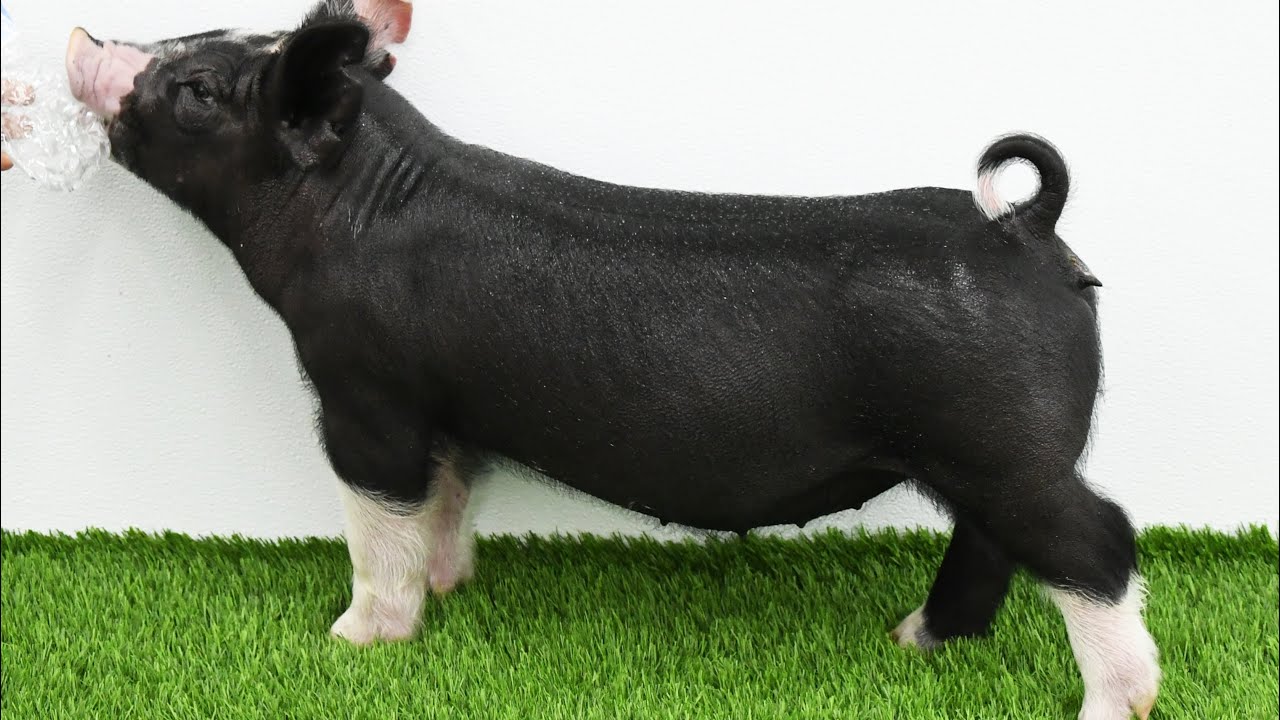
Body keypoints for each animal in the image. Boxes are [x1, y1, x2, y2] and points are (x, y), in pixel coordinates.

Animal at [64, 2, 1159, 718]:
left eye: (199, 91)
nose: (82, 36)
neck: (353, 206)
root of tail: (1022, 229)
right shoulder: (447, 410)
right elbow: (449, 493)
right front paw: (453, 587)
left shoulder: (365, 392)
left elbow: (380, 514)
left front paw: (354, 642)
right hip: (986, 453)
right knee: (993, 543)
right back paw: (913, 641)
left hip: (1004, 446)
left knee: (1098, 542)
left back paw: (1109, 705)